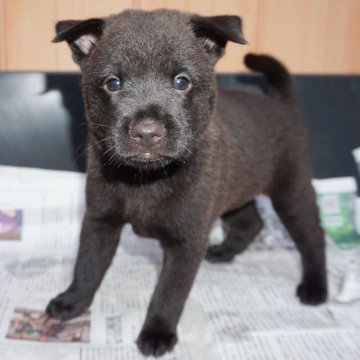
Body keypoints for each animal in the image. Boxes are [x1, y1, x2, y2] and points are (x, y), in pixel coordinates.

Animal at [46, 8, 328, 358]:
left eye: (182, 81)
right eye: (113, 83)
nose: (147, 133)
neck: (146, 179)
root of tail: (280, 102)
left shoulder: (187, 240)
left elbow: (169, 292)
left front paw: (157, 332)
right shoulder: (100, 221)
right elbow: (86, 266)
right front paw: (72, 302)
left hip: (292, 193)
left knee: (313, 238)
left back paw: (315, 288)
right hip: (234, 191)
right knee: (251, 222)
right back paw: (223, 252)